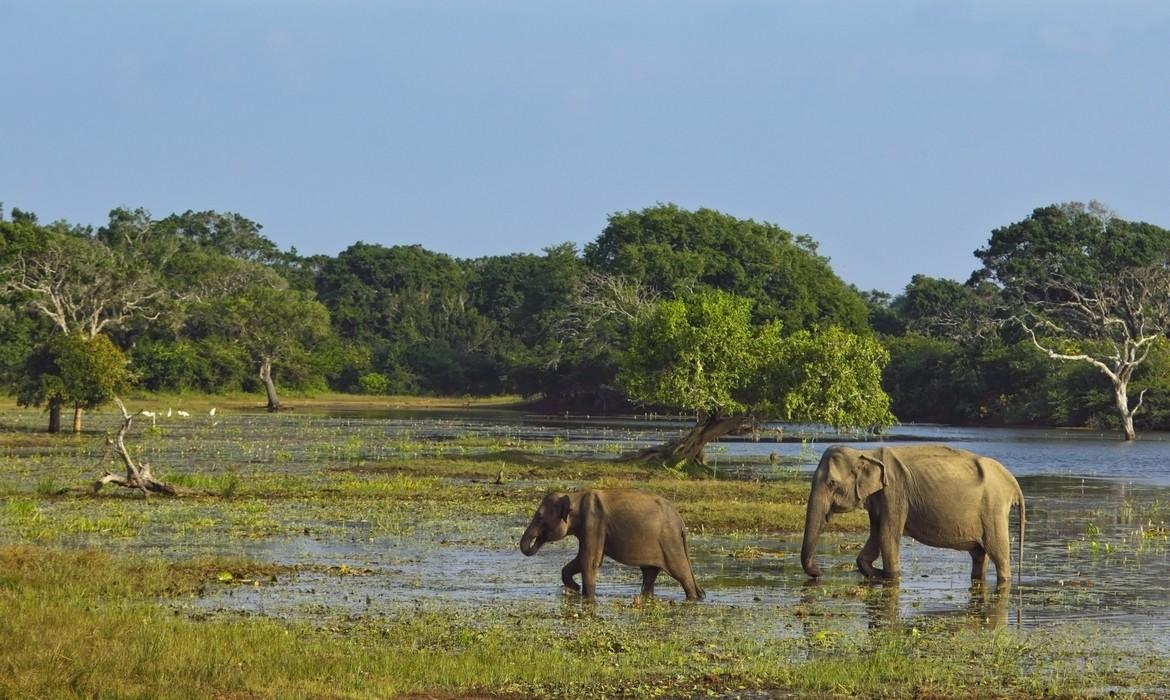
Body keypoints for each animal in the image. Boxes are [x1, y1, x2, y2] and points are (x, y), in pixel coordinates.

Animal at [519, 488, 704, 601]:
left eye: (540, 517)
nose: (574, 588)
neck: (575, 496)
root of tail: (681, 522)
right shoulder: (588, 529)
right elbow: (581, 560)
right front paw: (574, 589)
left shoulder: (593, 523)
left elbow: (590, 561)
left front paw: (585, 596)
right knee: (649, 573)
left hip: (670, 541)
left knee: (681, 572)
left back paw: (694, 598)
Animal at [800, 445, 1025, 588]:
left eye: (831, 483)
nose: (819, 572)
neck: (866, 453)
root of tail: (1012, 482)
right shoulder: (880, 499)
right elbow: (875, 537)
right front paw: (878, 574)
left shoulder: (895, 494)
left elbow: (887, 537)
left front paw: (891, 576)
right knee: (979, 555)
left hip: (993, 510)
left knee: (998, 553)